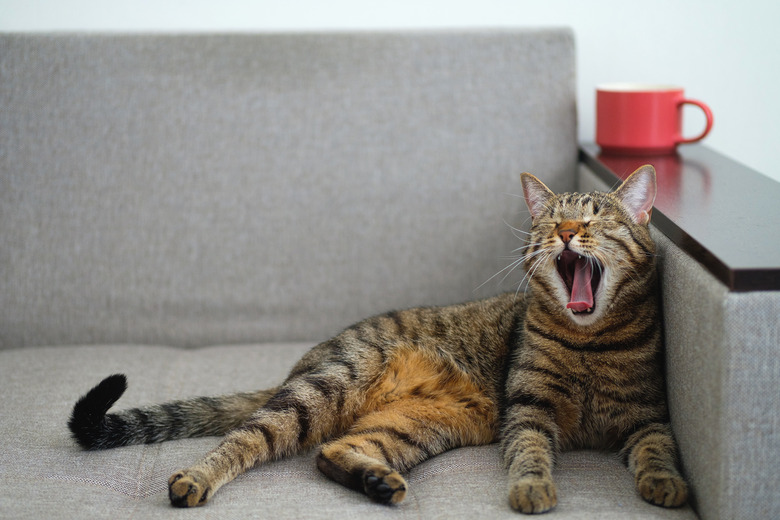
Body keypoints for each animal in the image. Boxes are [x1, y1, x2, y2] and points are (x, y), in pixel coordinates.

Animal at [68, 166, 688, 512]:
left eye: (596, 217)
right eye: (548, 221)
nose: (564, 231)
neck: (590, 342)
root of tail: (306, 360)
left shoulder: (649, 414)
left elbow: (658, 453)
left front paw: (666, 486)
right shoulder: (527, 409)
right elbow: (531, 455)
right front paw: (533, 491)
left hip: (423, 423)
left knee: (334, 450)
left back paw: (377, 481)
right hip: (327, 387)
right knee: (246, 438)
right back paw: (196, 478)